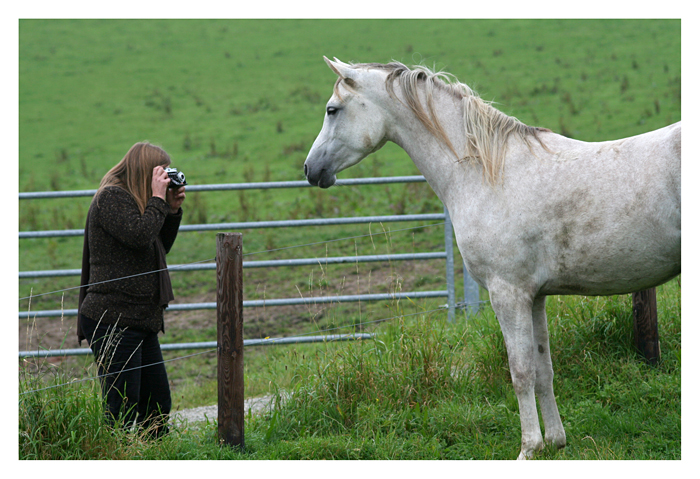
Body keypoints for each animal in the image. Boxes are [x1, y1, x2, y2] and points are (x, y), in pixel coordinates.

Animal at [304, 57, 680, 462]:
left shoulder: (507, 294)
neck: (485, 172)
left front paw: (528, 448)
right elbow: (543, 369)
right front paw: (555, 441)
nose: (310, 169)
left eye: (332, 109)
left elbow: (521, 372)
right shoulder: (535, 297)